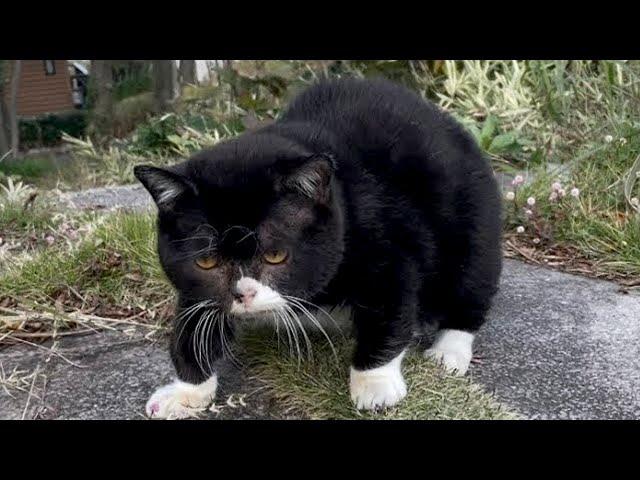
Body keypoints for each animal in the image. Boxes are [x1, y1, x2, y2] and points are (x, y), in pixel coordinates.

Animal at [136, 77, 504, 418]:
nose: (243, 293)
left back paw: (449, 349)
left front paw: (375, 384)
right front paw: (185, 392)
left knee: (472, 284)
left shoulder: (389, 245)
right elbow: (191, 325)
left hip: (475, 222)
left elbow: (390, 311)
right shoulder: (196, 286)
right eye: (207, 262)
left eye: (275, 255)